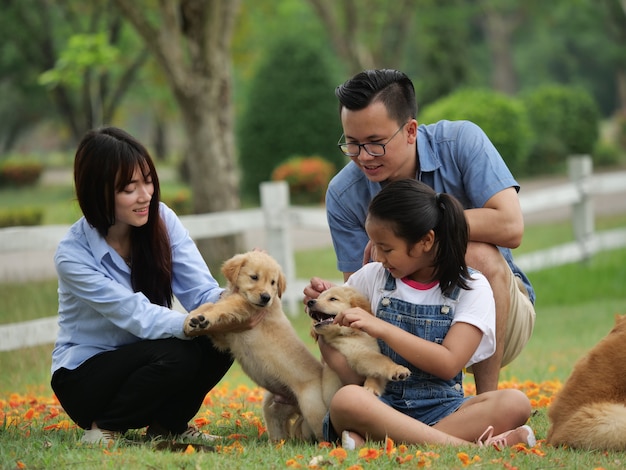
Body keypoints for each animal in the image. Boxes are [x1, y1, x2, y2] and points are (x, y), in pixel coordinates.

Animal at [183, 252, 324, 442]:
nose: (266, 297)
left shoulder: (245, 307)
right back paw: (276, 444)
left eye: (273, 282)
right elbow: (211, 305)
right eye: (254, 277)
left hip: (312, 409)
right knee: (279, 429)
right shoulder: (224, 337)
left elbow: (225, 305)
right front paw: (194, 318)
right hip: (273, 405)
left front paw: (202, 318)